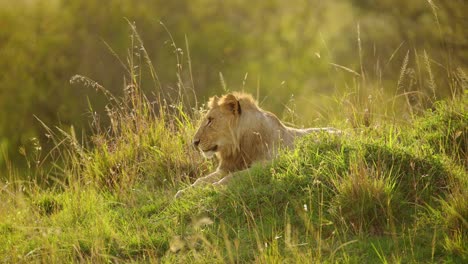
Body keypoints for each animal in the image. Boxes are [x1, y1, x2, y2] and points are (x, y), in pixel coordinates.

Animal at [175, 92, 336, 197]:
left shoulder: (267, 164)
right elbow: (201, 180)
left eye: (210, 120)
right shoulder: (228, 167)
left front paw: (214, 187)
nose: (194, 142)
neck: (240, 146)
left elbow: (234, 177)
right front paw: (183, 192)